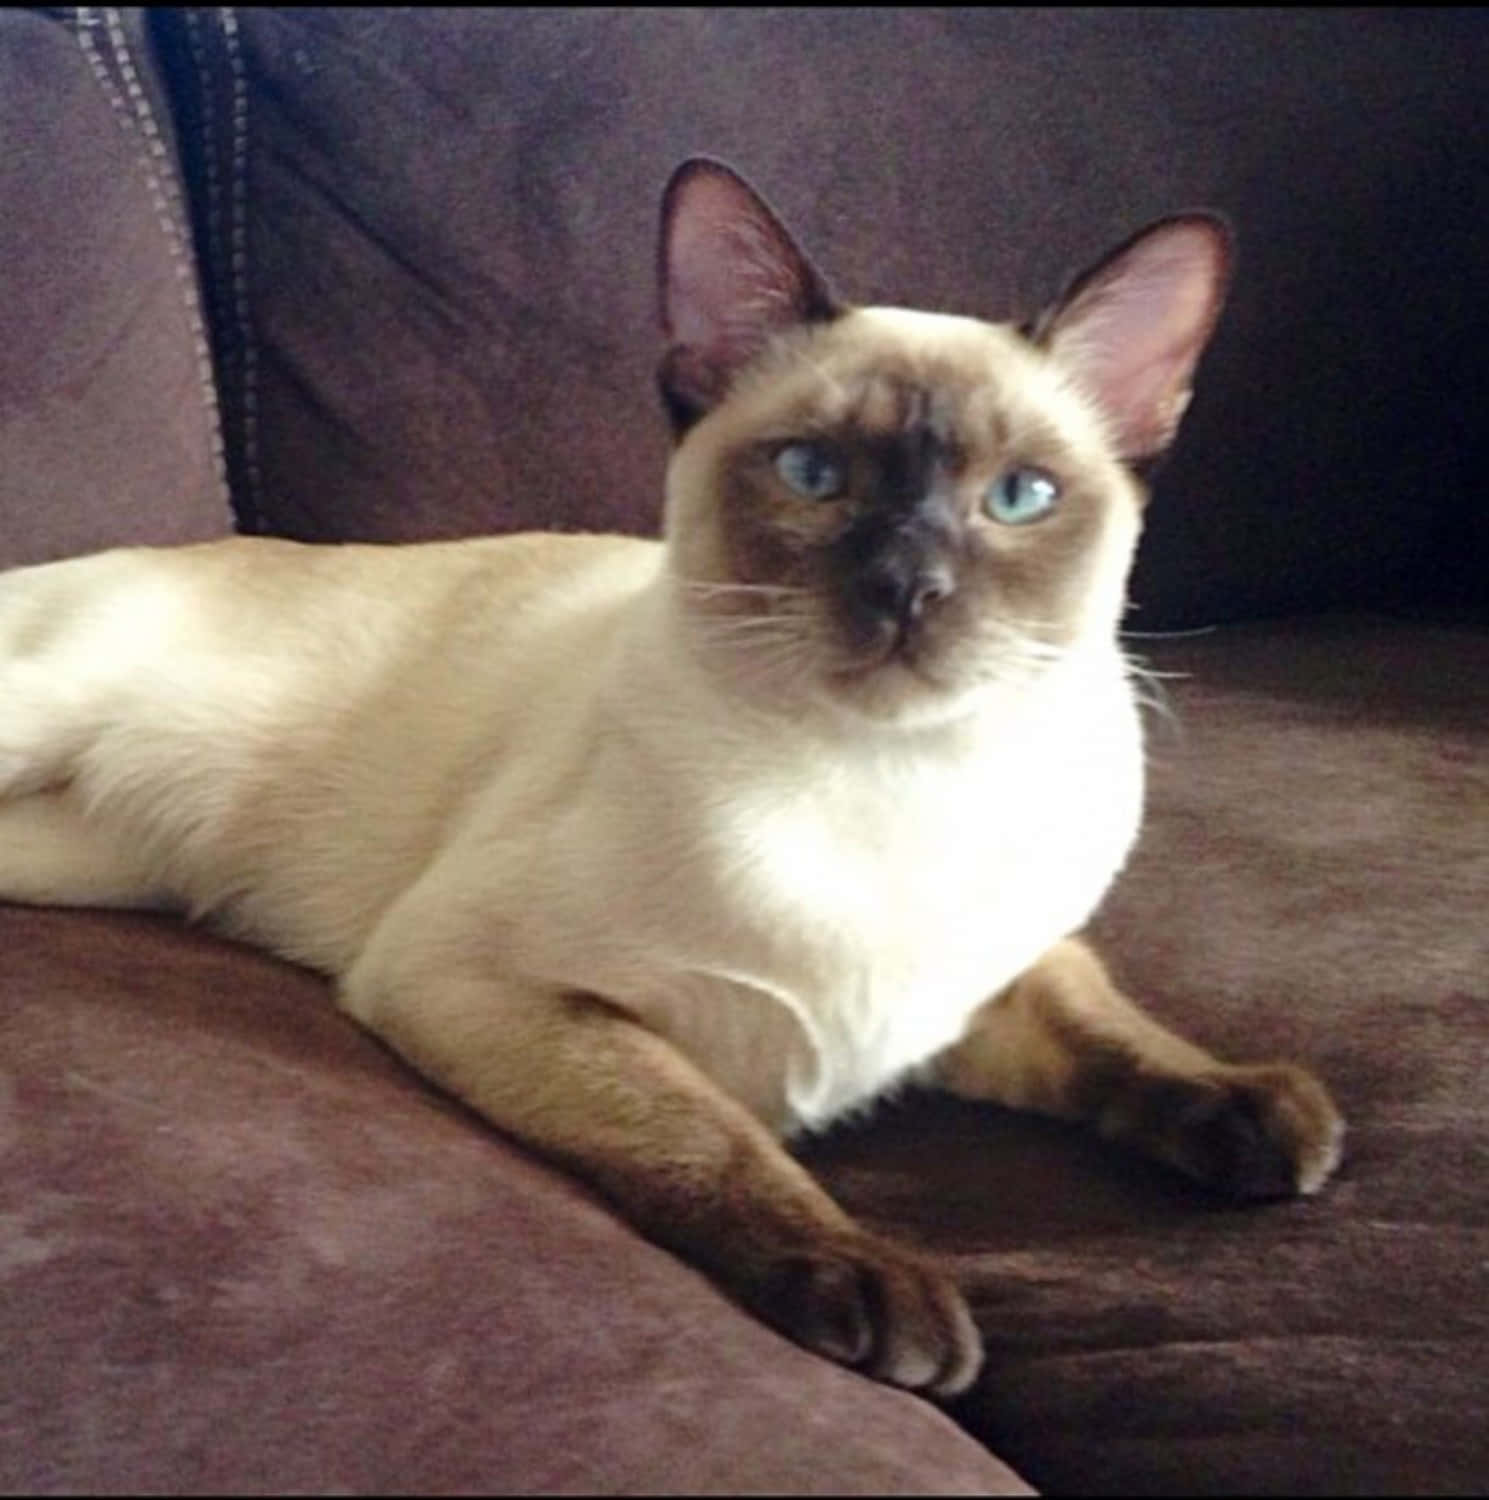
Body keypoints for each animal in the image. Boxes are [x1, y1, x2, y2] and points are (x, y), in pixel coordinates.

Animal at [0, 155, 1343, 1392]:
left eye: (1018, 498)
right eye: (812, 475)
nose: (907, 589)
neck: (890, 782)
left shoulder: (975, 989)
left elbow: (1110, 1031)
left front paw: (1258, 1120)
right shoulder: (481, 986)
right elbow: (718, 1144)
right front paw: (878, 1298)